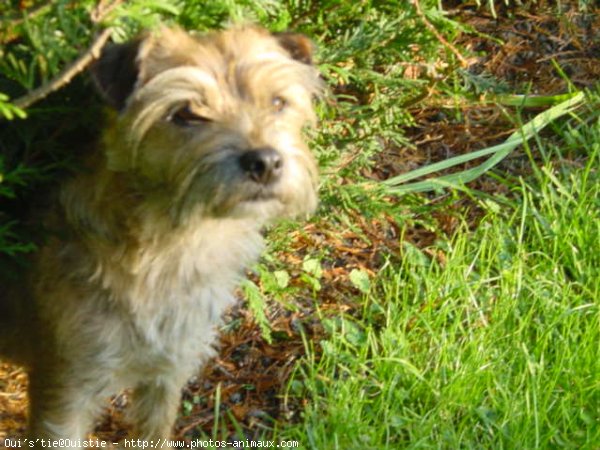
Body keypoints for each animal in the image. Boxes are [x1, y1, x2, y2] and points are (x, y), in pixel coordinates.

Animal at [0, 26, 322, 448]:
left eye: (277, 101)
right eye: (186, 113)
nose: (265, 161)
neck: (173, 245)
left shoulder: (166, 373)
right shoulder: (66, 388)